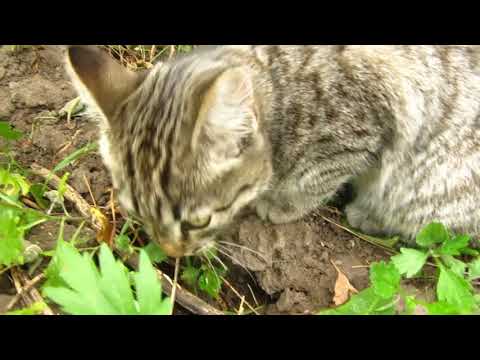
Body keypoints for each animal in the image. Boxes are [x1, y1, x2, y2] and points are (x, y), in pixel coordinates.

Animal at [65, 46, 480, 258]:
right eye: (137, 212)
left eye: (200, 222)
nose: (170, 252)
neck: (280, 84)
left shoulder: (360, 126)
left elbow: (318, 174)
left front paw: (283, 204)